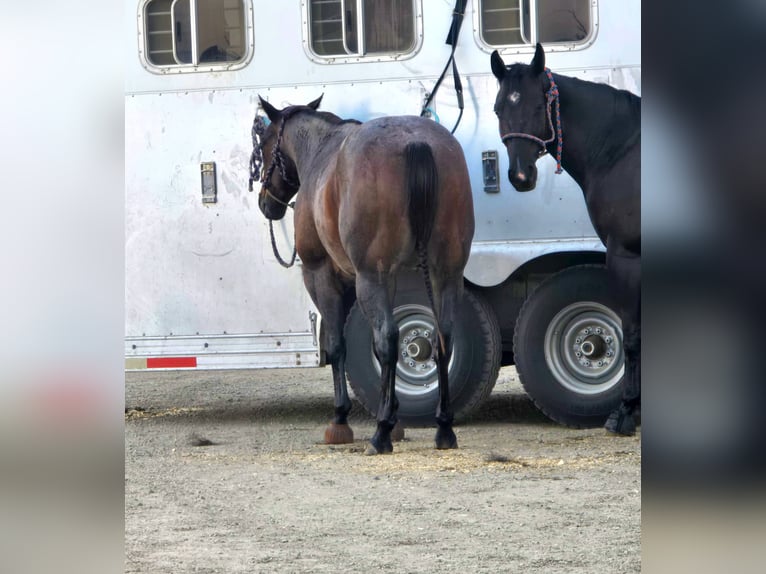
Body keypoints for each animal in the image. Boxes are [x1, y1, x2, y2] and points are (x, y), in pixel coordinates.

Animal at [250, 96, 475, 454]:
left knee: (388, 339)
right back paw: (443, 428)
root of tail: (416, 142)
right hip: (446, 274)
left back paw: (380, 433)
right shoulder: (392, 278)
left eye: (265, 143)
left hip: (371, 278)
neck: (322, 152)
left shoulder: (321, 275)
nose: (265, 203)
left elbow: (337, 344)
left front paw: (341, 419)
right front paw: (395, 416)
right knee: (443, 336)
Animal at [490, 44, 640, 435]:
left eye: (535, 106)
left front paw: (625, 413)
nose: (521, 176)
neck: (622, 151)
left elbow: (632, 334)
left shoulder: (626, 256)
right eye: (499, 108)